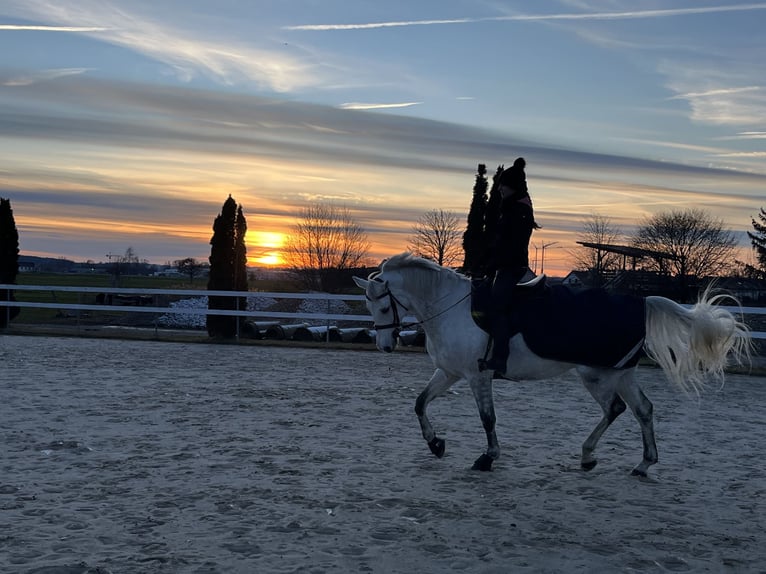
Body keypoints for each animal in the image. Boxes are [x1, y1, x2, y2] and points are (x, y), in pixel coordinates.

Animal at [356, 255, 752, 476]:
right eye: (370, 304)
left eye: (383, 304)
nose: (385, 346)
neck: (449, 307)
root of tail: (640, 302)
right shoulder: (450, 372)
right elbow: (420, 403)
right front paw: (435, 444)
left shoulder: (477, 375)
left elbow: (488, 419)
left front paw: (488, 457)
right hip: (620, 372)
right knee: (642, 409)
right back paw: (637, 464)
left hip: (597, 374)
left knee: (617, 408)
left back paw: (593, 457)